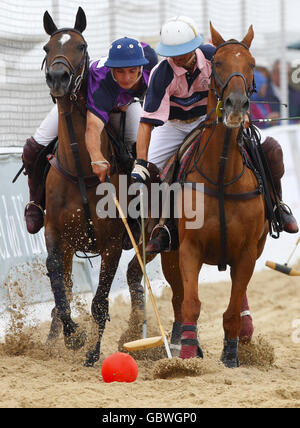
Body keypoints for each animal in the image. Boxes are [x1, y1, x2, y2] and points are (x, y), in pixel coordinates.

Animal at [42, 8, 144, 366]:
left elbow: (100, 301)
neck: (80, 169)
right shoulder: (55, 234)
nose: (58, 78)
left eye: (81, 46)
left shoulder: (113, 242)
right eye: (47, 47)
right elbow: (58, 283)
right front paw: (72, 336)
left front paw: (92, 352)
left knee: (140, 277)